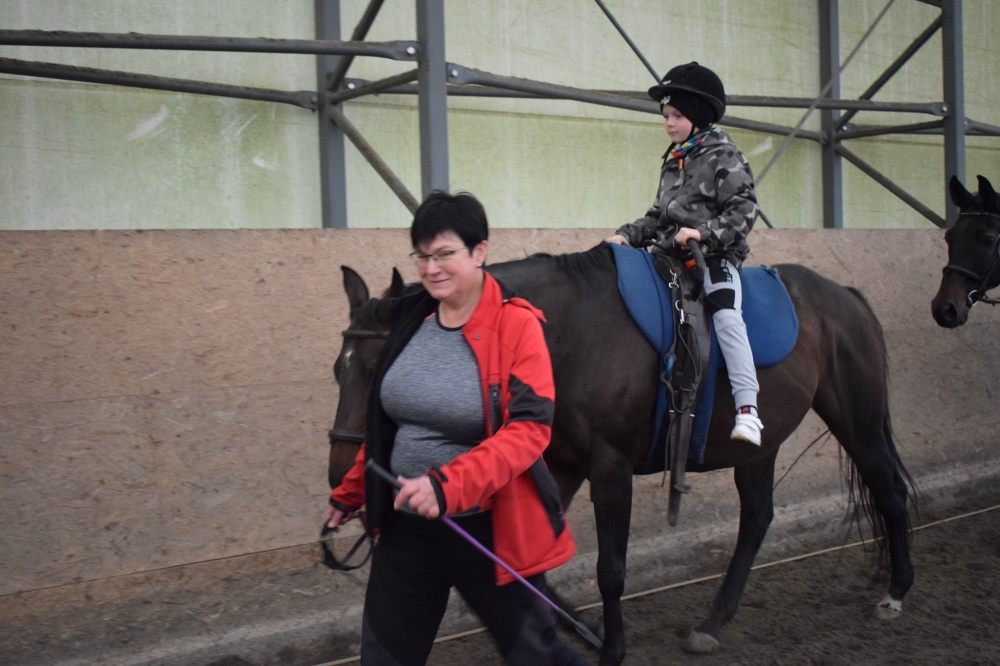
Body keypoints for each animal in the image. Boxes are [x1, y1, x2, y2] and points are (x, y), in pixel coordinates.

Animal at [328, 243, 915, 666]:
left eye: (381, 367)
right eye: (340, 369)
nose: (340, 474)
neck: (568, 334)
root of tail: (846, 296)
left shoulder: (611, 469)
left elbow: (611, 568)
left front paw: (611, 647)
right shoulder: (564, 465)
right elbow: (528, 564)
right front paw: (576, 627)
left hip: (858, 422)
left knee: (888, 492)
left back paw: (896, 593)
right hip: (758, 447)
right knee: (756, 519)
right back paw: (711, 624)